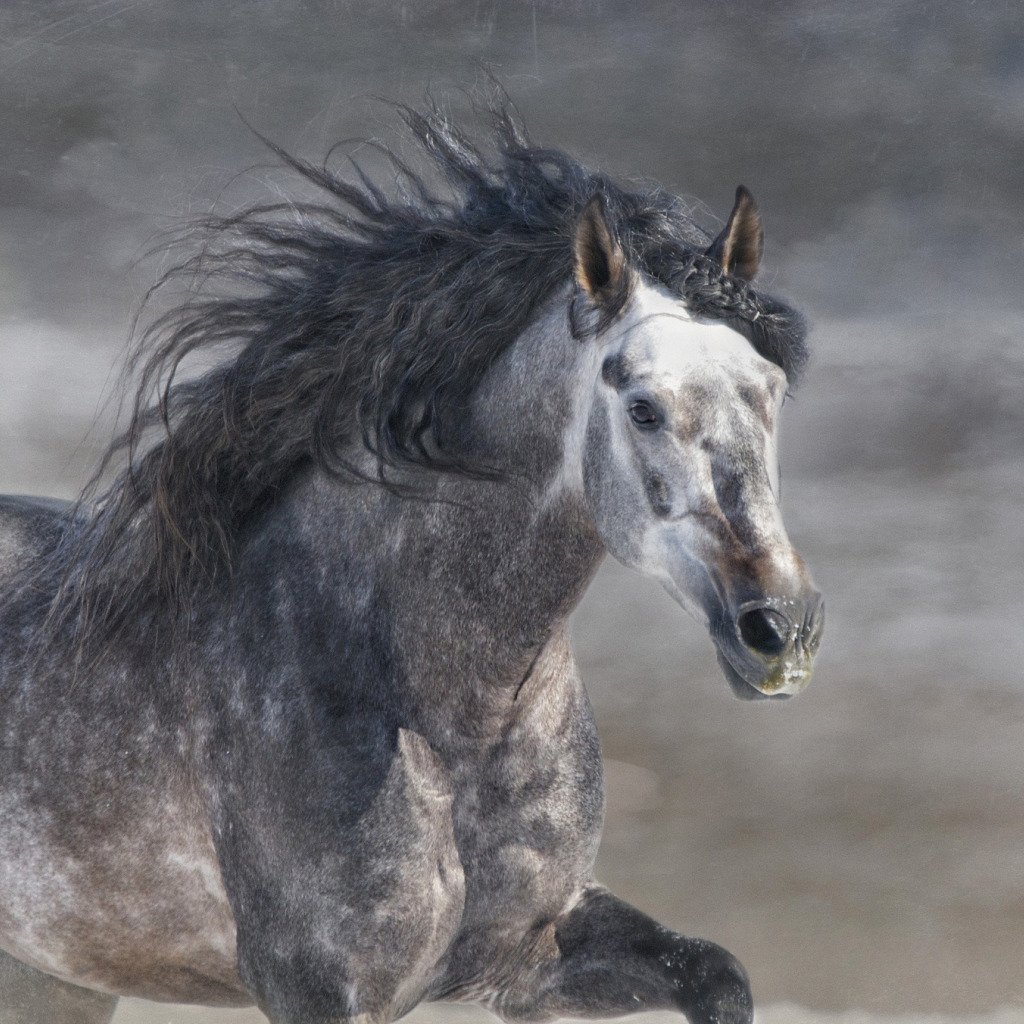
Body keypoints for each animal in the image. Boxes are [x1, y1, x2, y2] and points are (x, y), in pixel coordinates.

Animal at [0, 97, 819, 1024]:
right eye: (643, 407)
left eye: (770, 389)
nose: (779, 629)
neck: (450, 714)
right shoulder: (323, 990)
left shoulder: (529, 957)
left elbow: (717, 973)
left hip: (55, 980)